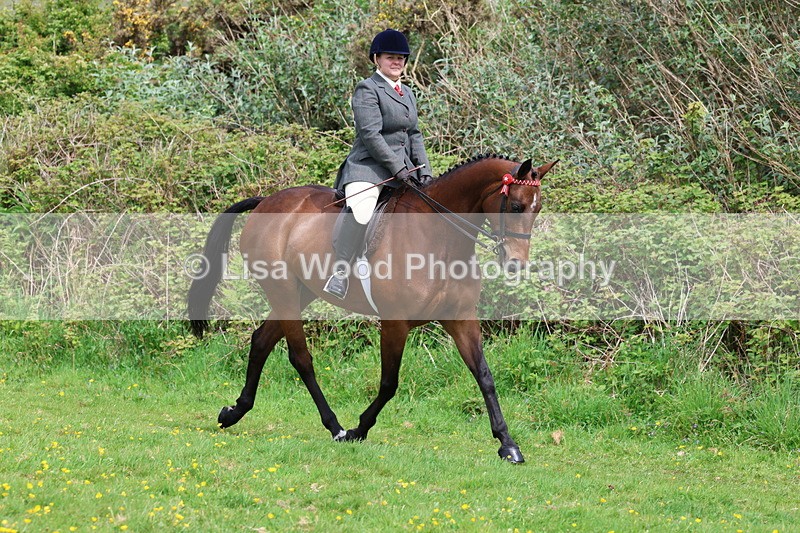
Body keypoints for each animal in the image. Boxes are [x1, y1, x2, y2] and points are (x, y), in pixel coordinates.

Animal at [188, 154, 557, 463]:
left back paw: (234, 412)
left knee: (262, 340)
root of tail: (267, 200)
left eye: (537, 209)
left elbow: (484, 376)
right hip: (283, 292)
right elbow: (389, 383)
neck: (440, 238)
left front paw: (508, 444)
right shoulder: (395, 323)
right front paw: (359, 429)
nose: (516, 265)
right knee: (300, 358)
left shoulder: (461, 318)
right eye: (515, 206)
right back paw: (335, 426)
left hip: (299, 293)